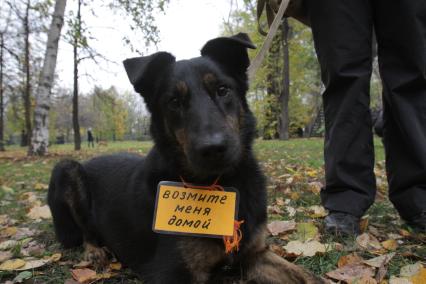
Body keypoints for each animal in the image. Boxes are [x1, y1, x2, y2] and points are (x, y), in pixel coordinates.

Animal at [47, 33, 322, 284]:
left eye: (222, 90)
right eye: (174, 101)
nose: (213, 148)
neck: (222, 182)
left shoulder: (255, 255)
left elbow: (310, 277)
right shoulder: (173, 273)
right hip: (67, 168)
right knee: (86, 233)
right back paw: (94, 252)